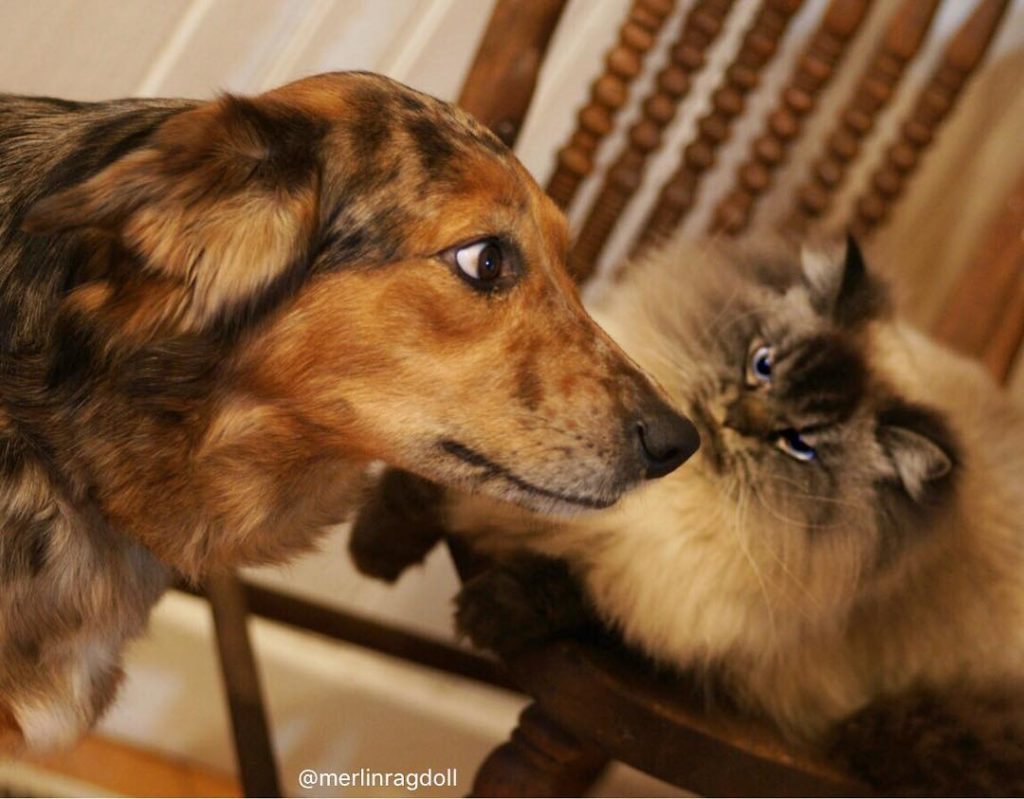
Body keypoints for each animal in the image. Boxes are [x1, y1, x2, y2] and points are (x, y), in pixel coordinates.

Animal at [350, 235, 1024, 790]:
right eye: (762, 364)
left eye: (799, 444)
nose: (734, 419)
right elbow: (420, 488)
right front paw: (372, 554)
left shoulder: (687, 621)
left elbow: (576, 594)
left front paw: (484, 614)